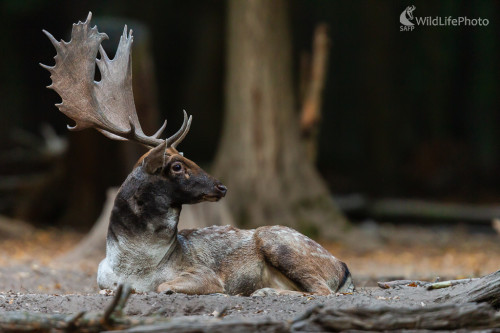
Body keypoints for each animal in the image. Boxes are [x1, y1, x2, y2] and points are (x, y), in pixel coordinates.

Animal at [44, 13, 356, 294]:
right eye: (177, 166)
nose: (222, 186)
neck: (134, 269)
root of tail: (342, 266)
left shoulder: (204, 274)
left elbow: (164, 287)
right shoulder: (103, 281)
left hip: (280, 243)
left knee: (321, 291)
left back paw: (263, 291)